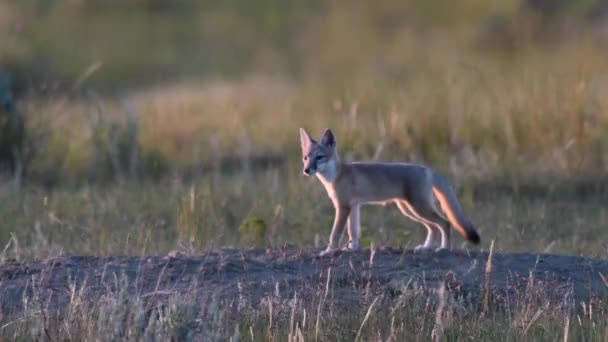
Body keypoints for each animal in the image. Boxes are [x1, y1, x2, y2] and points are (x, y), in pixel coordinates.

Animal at [300, 128, 480, 256]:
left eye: (320, 157)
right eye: (306, 157)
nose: (306, 170)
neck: (336, 175)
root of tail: (427, 169)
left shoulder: (343, 207)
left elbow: (335, 233)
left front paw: (329, 251)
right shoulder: (354, 206)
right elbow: (354, 232)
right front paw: (352, 249)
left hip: (418, 208)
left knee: (445, 223)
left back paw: (444, 248)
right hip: (409, 210)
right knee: (434, 227)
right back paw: (426, 247)